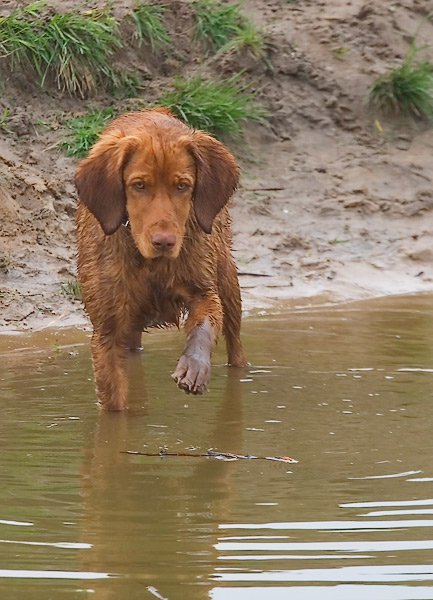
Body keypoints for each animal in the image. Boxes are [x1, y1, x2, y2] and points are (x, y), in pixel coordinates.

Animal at [75, 108, 246, 410]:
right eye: (139, 185)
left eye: (182, 186)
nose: (164, 241)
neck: (148, 262)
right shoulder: (107, 331)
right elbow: (113, 403)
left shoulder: (204, 291)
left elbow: (203, 326)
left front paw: (194, 366)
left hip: (227, 276)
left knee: (235, 344)